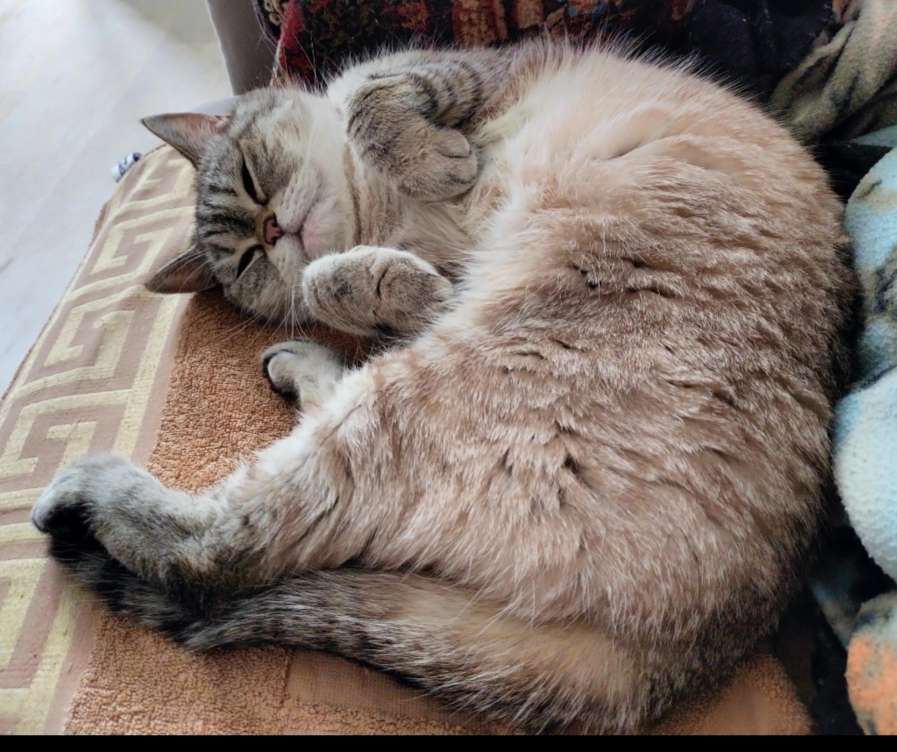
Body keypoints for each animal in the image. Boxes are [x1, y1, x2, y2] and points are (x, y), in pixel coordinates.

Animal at [31, 40, 853, 733]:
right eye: (242, 260)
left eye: (253, 182)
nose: (272, 233)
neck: (378, 211)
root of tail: (673, 660)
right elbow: (348, 279)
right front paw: (368, 275)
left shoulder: (449, 75)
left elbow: (372, 107)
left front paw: (429, 175)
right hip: (402, 400)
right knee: (215, 549)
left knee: (231, 541)